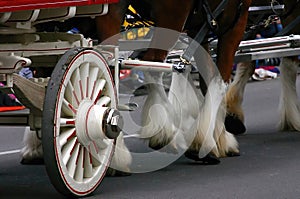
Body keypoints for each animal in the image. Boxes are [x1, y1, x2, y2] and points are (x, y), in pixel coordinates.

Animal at [19, 0, 252, 173]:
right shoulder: (235, 23)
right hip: (172, 13)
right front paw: (209, 142)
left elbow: (204, 76)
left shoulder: (201, 23)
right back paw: (158, 135)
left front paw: (217, 135)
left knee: (53, 69)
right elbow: (217, 80)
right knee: (148, 64)